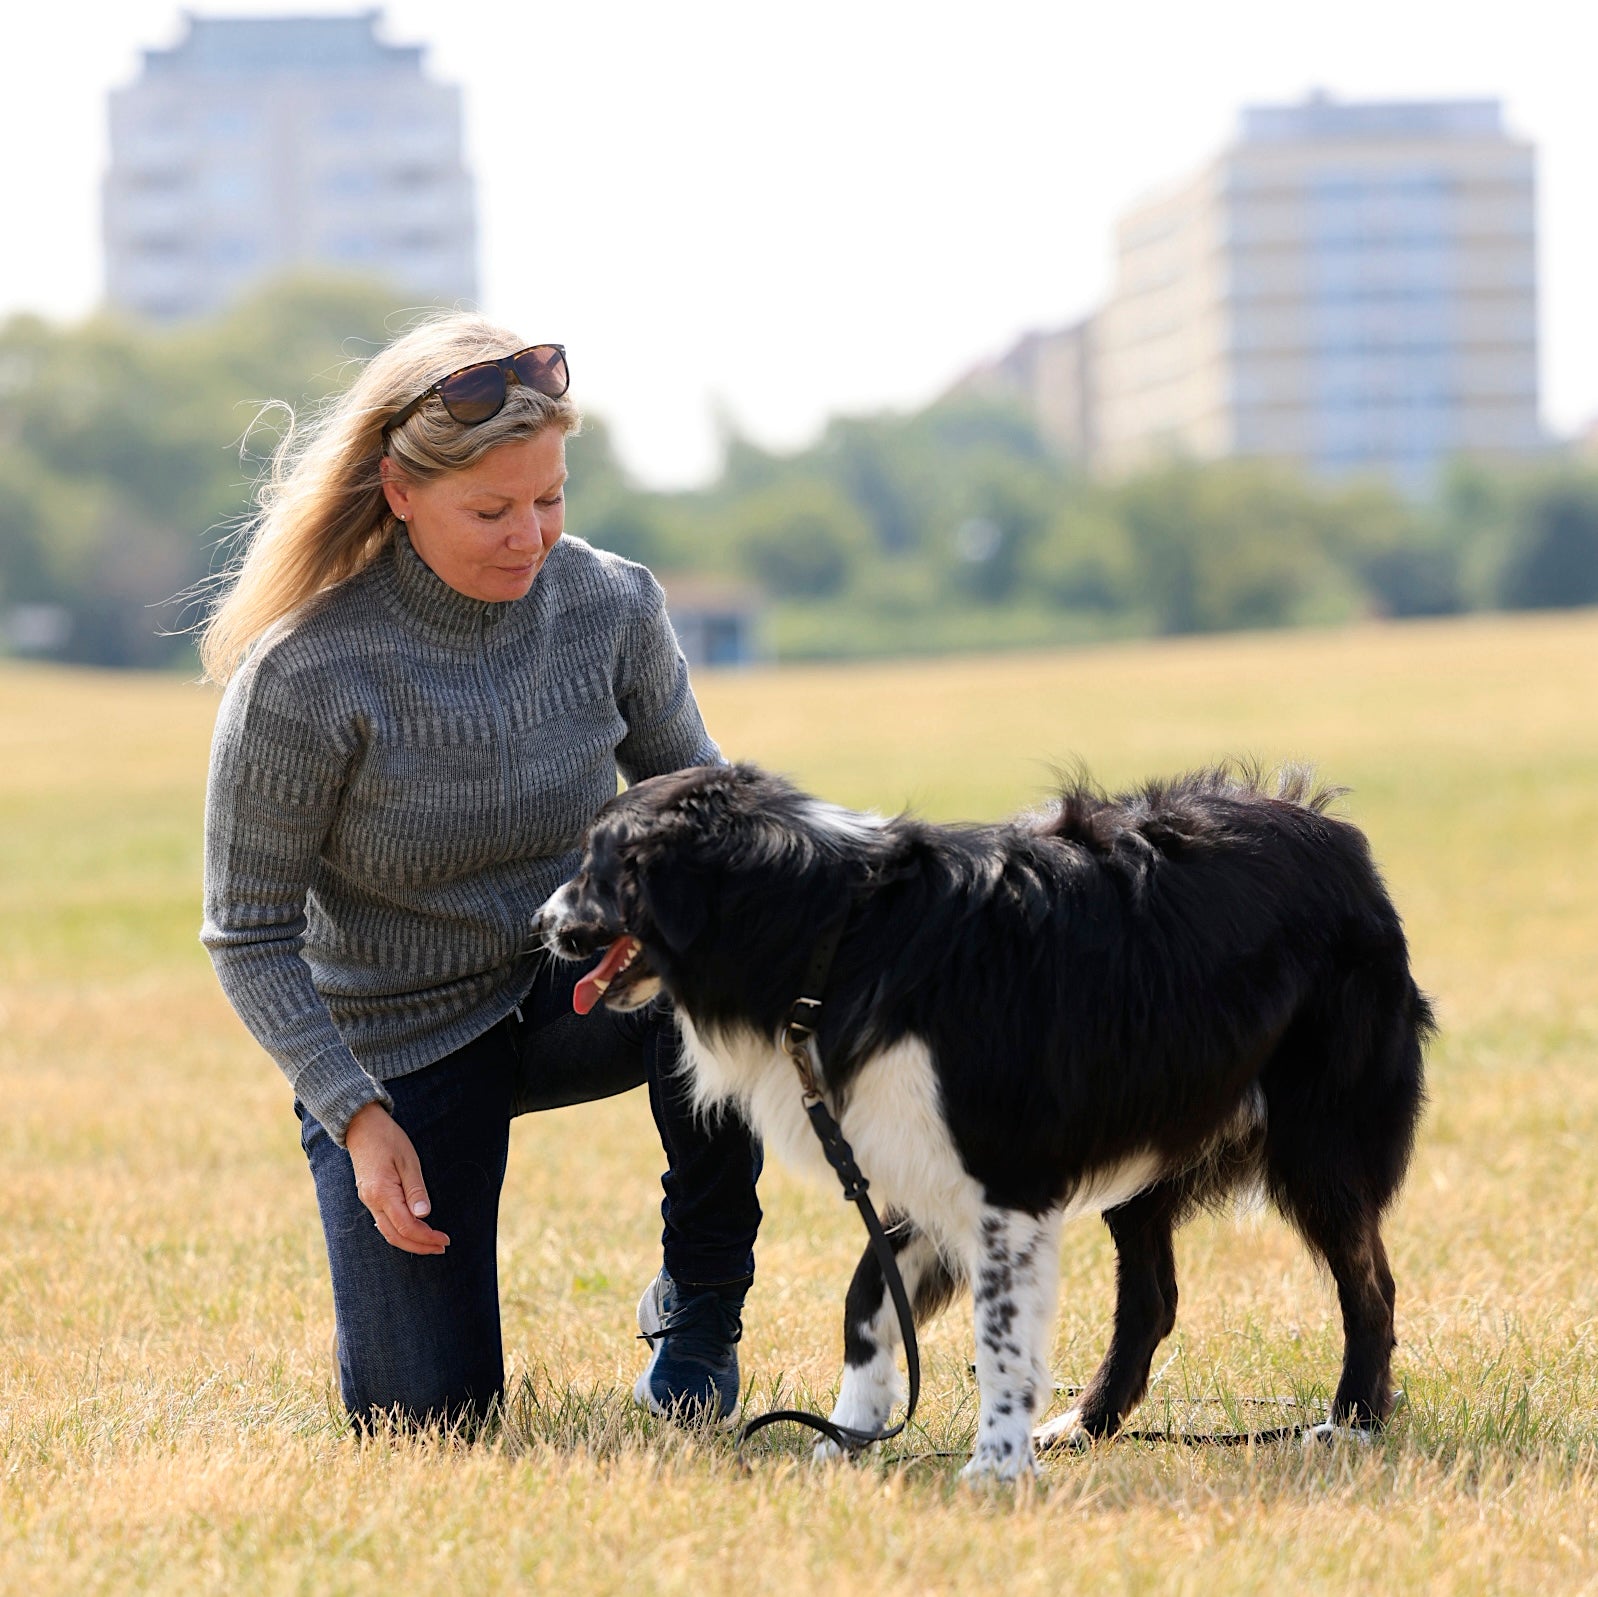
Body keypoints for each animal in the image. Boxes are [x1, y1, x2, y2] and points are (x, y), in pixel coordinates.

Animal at [533, 764, 1425, 1483]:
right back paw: (1084, 1424)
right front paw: (848, 1434)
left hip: (1321, 1143)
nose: (539, 922)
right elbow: (868, 1299)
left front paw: (995, 1465)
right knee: (1153, 1298)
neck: (834, 931)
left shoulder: (1005, 1180)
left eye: (597, 864)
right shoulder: (919, 1166)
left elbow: (999, 1337)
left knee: (1370, 1285)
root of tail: (1332, 831)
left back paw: (1351, 1423)